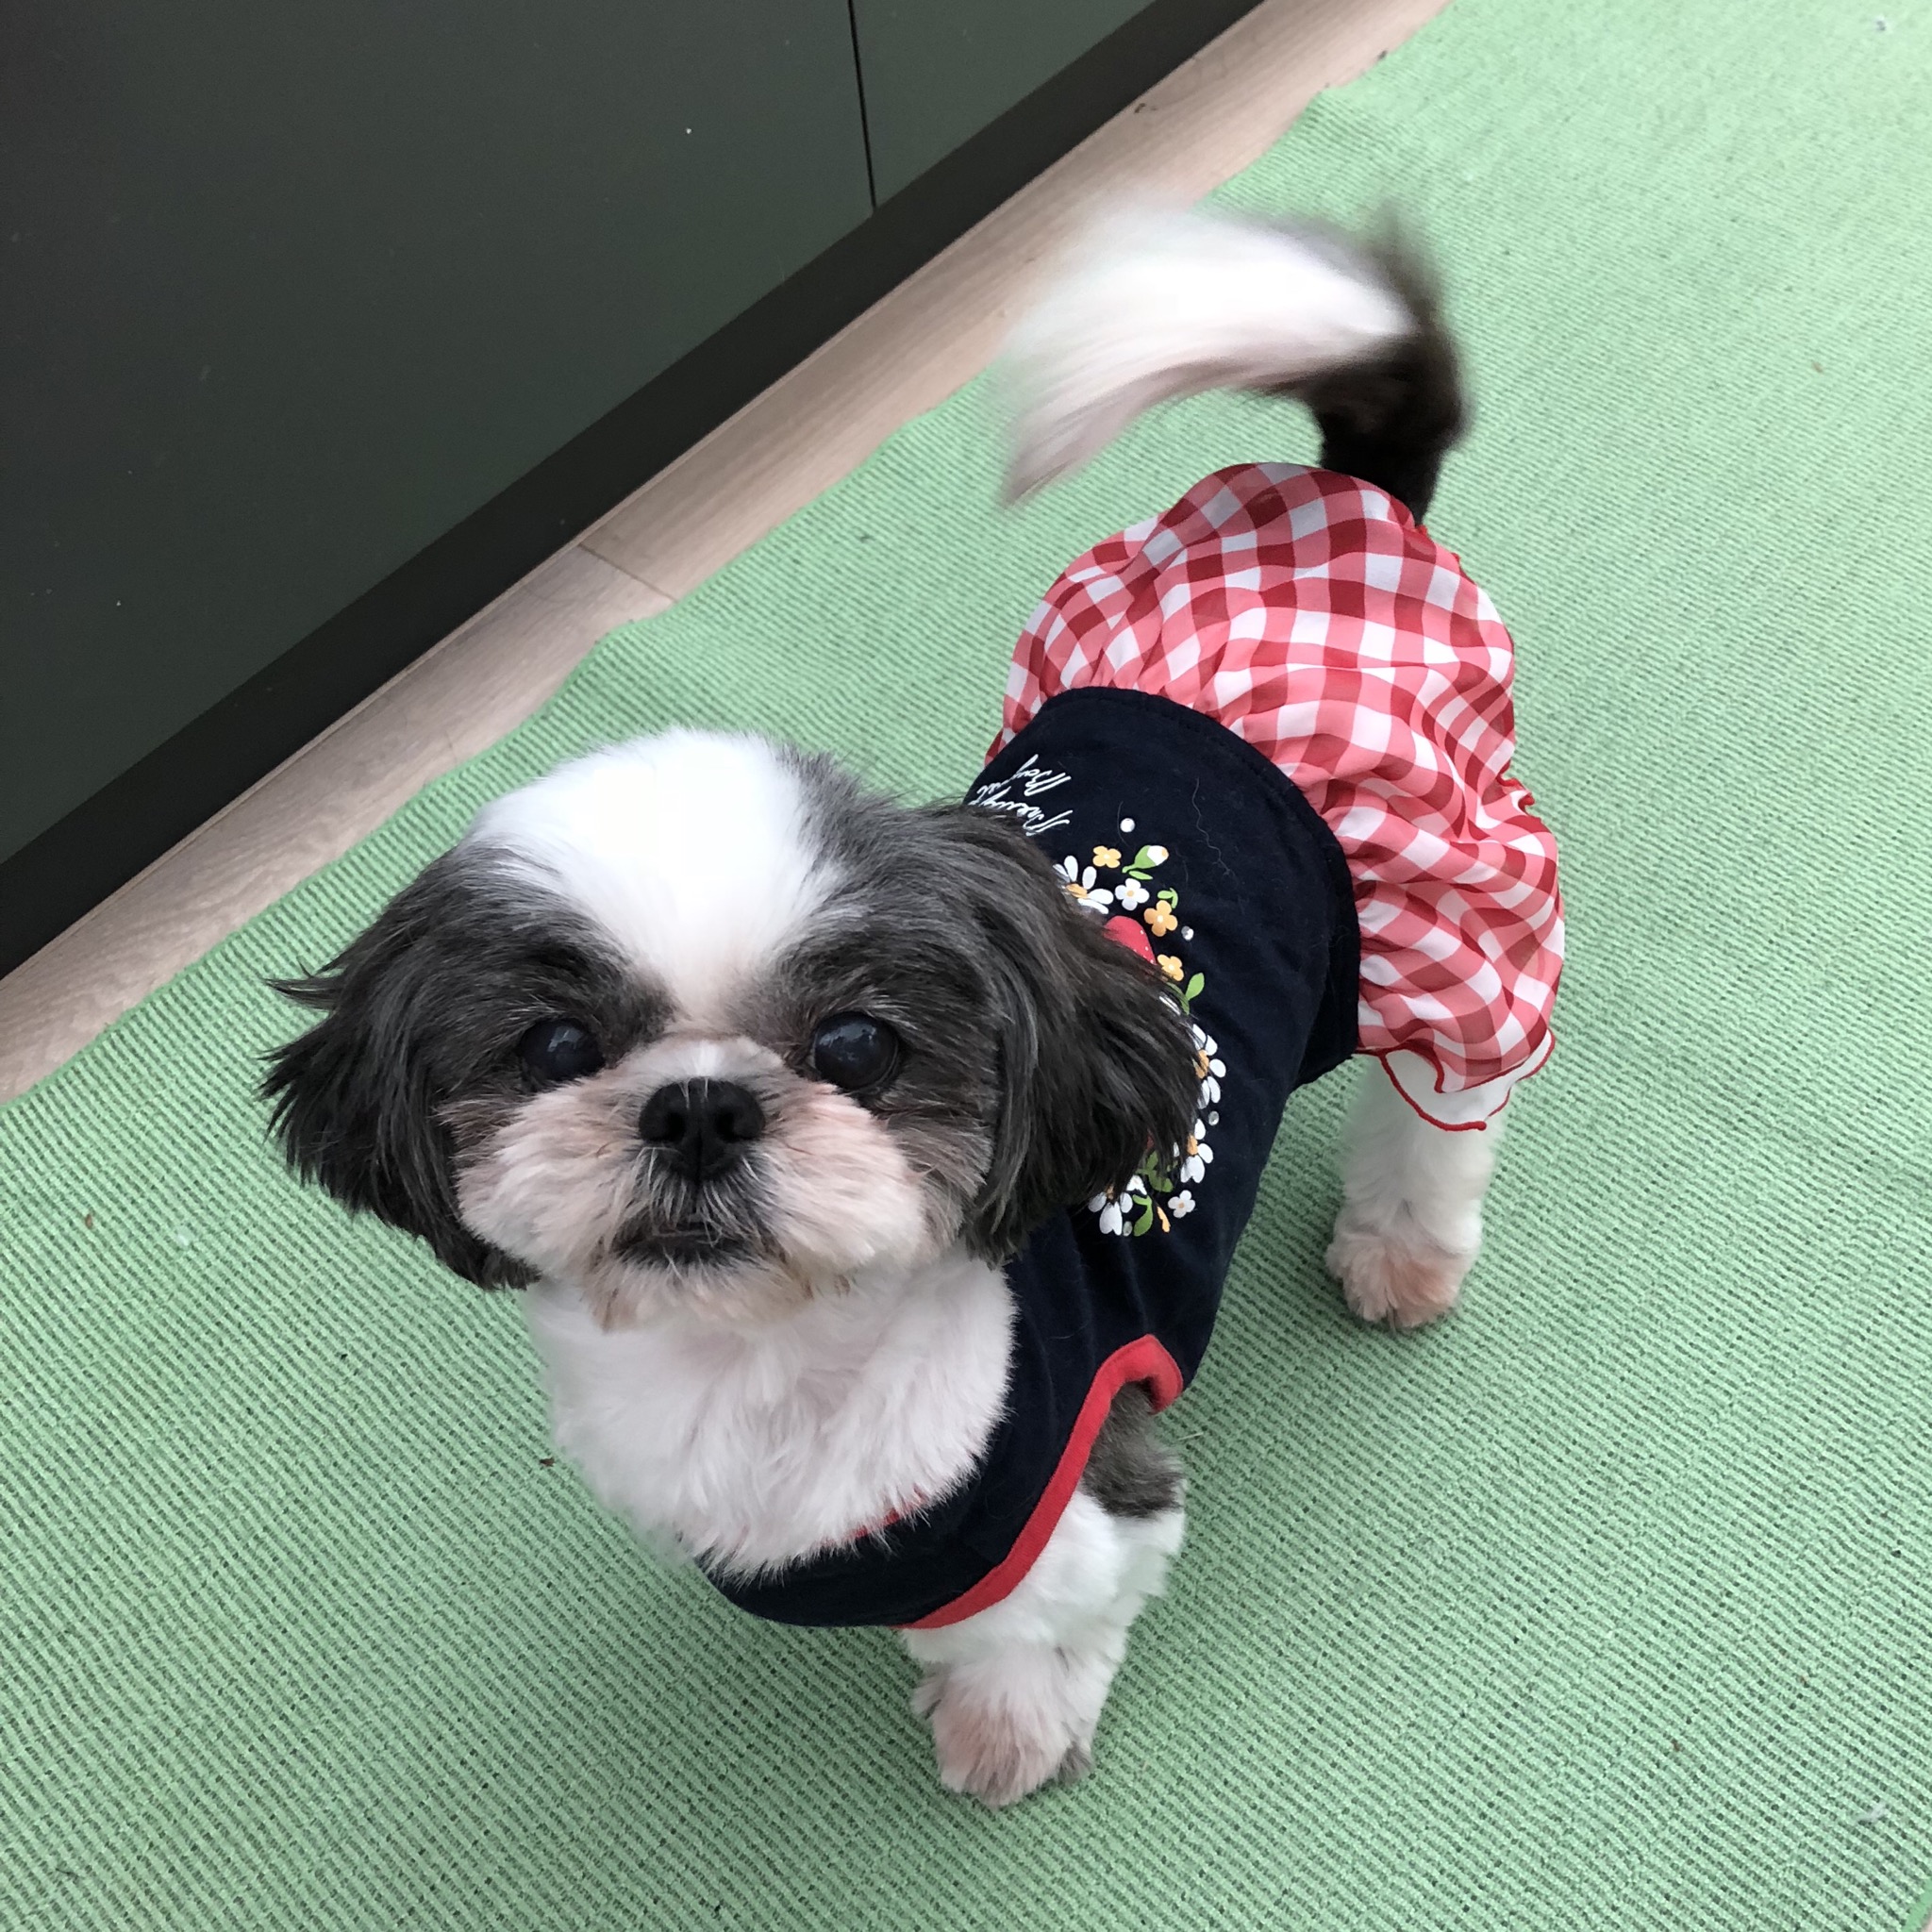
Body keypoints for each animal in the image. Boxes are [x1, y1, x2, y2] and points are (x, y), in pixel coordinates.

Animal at [263, 205, 1563, 1807]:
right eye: (556, 1045)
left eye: (856, 1046)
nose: (698, 1106)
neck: (767, 1371)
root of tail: (1339, 505)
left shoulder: (1089, 1487)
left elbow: (1018, 1622)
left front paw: (1007, 1726)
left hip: (1445, 913)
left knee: (1443, 1106)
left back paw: (1404, 1247)